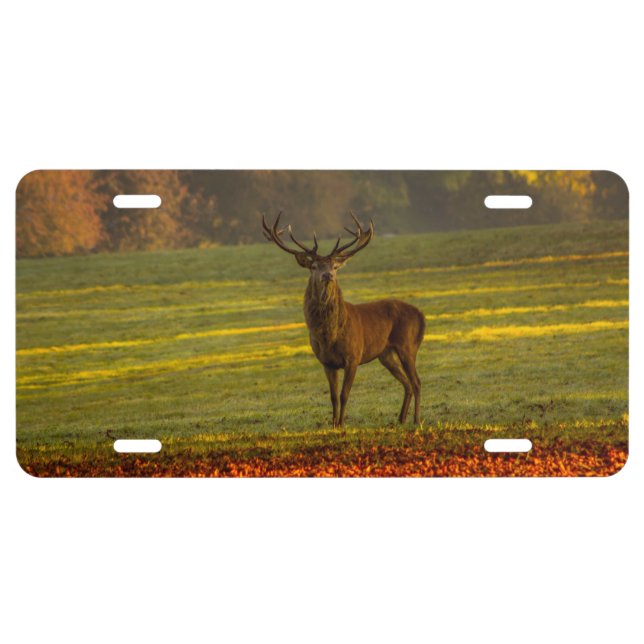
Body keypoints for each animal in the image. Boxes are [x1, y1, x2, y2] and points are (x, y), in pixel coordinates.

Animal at [262, 212, 425, 428]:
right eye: (314, 266)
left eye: (334, 266)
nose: (327, 275)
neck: (330, 335)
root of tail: (421, 315)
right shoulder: (326, 362)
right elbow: (332, 396)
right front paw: (333, 424)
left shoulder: (353, 356)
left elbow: (344, 394)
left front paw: (342, 424)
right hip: (386, 354)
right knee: (406, 382)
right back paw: (401, 418)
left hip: (407, 345)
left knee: (416, 381)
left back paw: (416, 419)